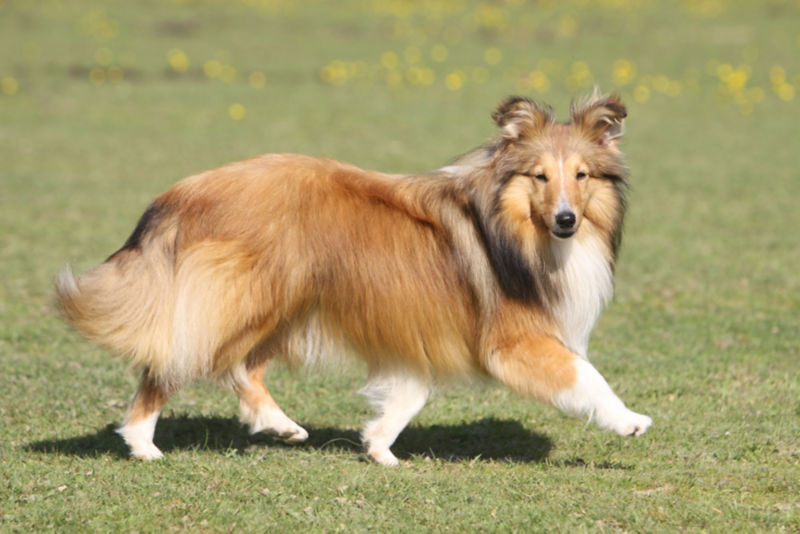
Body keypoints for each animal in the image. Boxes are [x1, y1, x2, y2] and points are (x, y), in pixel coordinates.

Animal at [54, 94, 648, 466]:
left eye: (582, 176)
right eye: (539, 176)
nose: (566, 220)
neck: (516, 228)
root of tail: (185, 191)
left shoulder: (420, 330)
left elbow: (409, 395)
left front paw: (380, 448)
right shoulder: (514, 341)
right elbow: (585, 375)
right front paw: (629, 421)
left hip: (285, 302)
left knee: (241, 368)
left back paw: (281, 425)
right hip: (249, 299)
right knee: (180, 362)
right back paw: (143, 443)